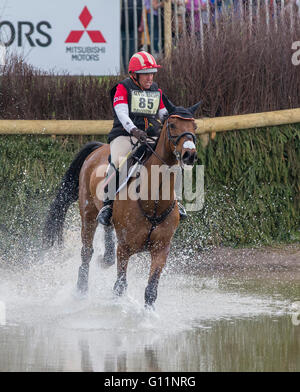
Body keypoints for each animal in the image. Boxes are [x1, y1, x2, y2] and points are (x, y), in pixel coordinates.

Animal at [42, 96, 202, 308]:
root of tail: (98, 148)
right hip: (88, 214)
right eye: (172, 125)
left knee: (107, 230)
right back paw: (81, 290)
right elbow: (119, 286)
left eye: (195, 126)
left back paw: (105, 257)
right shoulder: (125, 248)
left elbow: (151, 290)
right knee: (86, 252)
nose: (189, 155)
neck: (154, 201)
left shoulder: (161, 249)